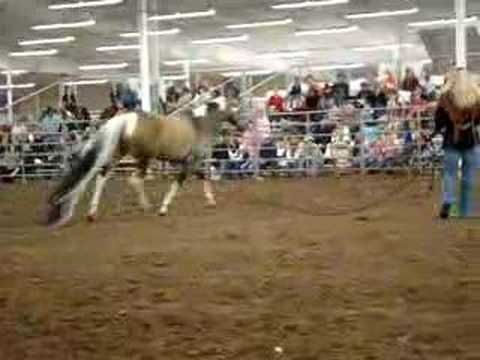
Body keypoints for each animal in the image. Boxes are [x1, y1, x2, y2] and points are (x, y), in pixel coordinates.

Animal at [46, 95, 240, 228]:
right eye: (233, 107)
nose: (240, 125)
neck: (199, 124)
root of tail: (126, 118)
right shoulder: (191, 161)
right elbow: (178, 183)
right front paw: (164, 208)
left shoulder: (186, 162)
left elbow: (203, 177)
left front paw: (211, 200)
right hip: (144, 158)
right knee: (134, 180)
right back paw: (146, 206)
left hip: (119, 155)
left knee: (102, 177)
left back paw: (92, 213)